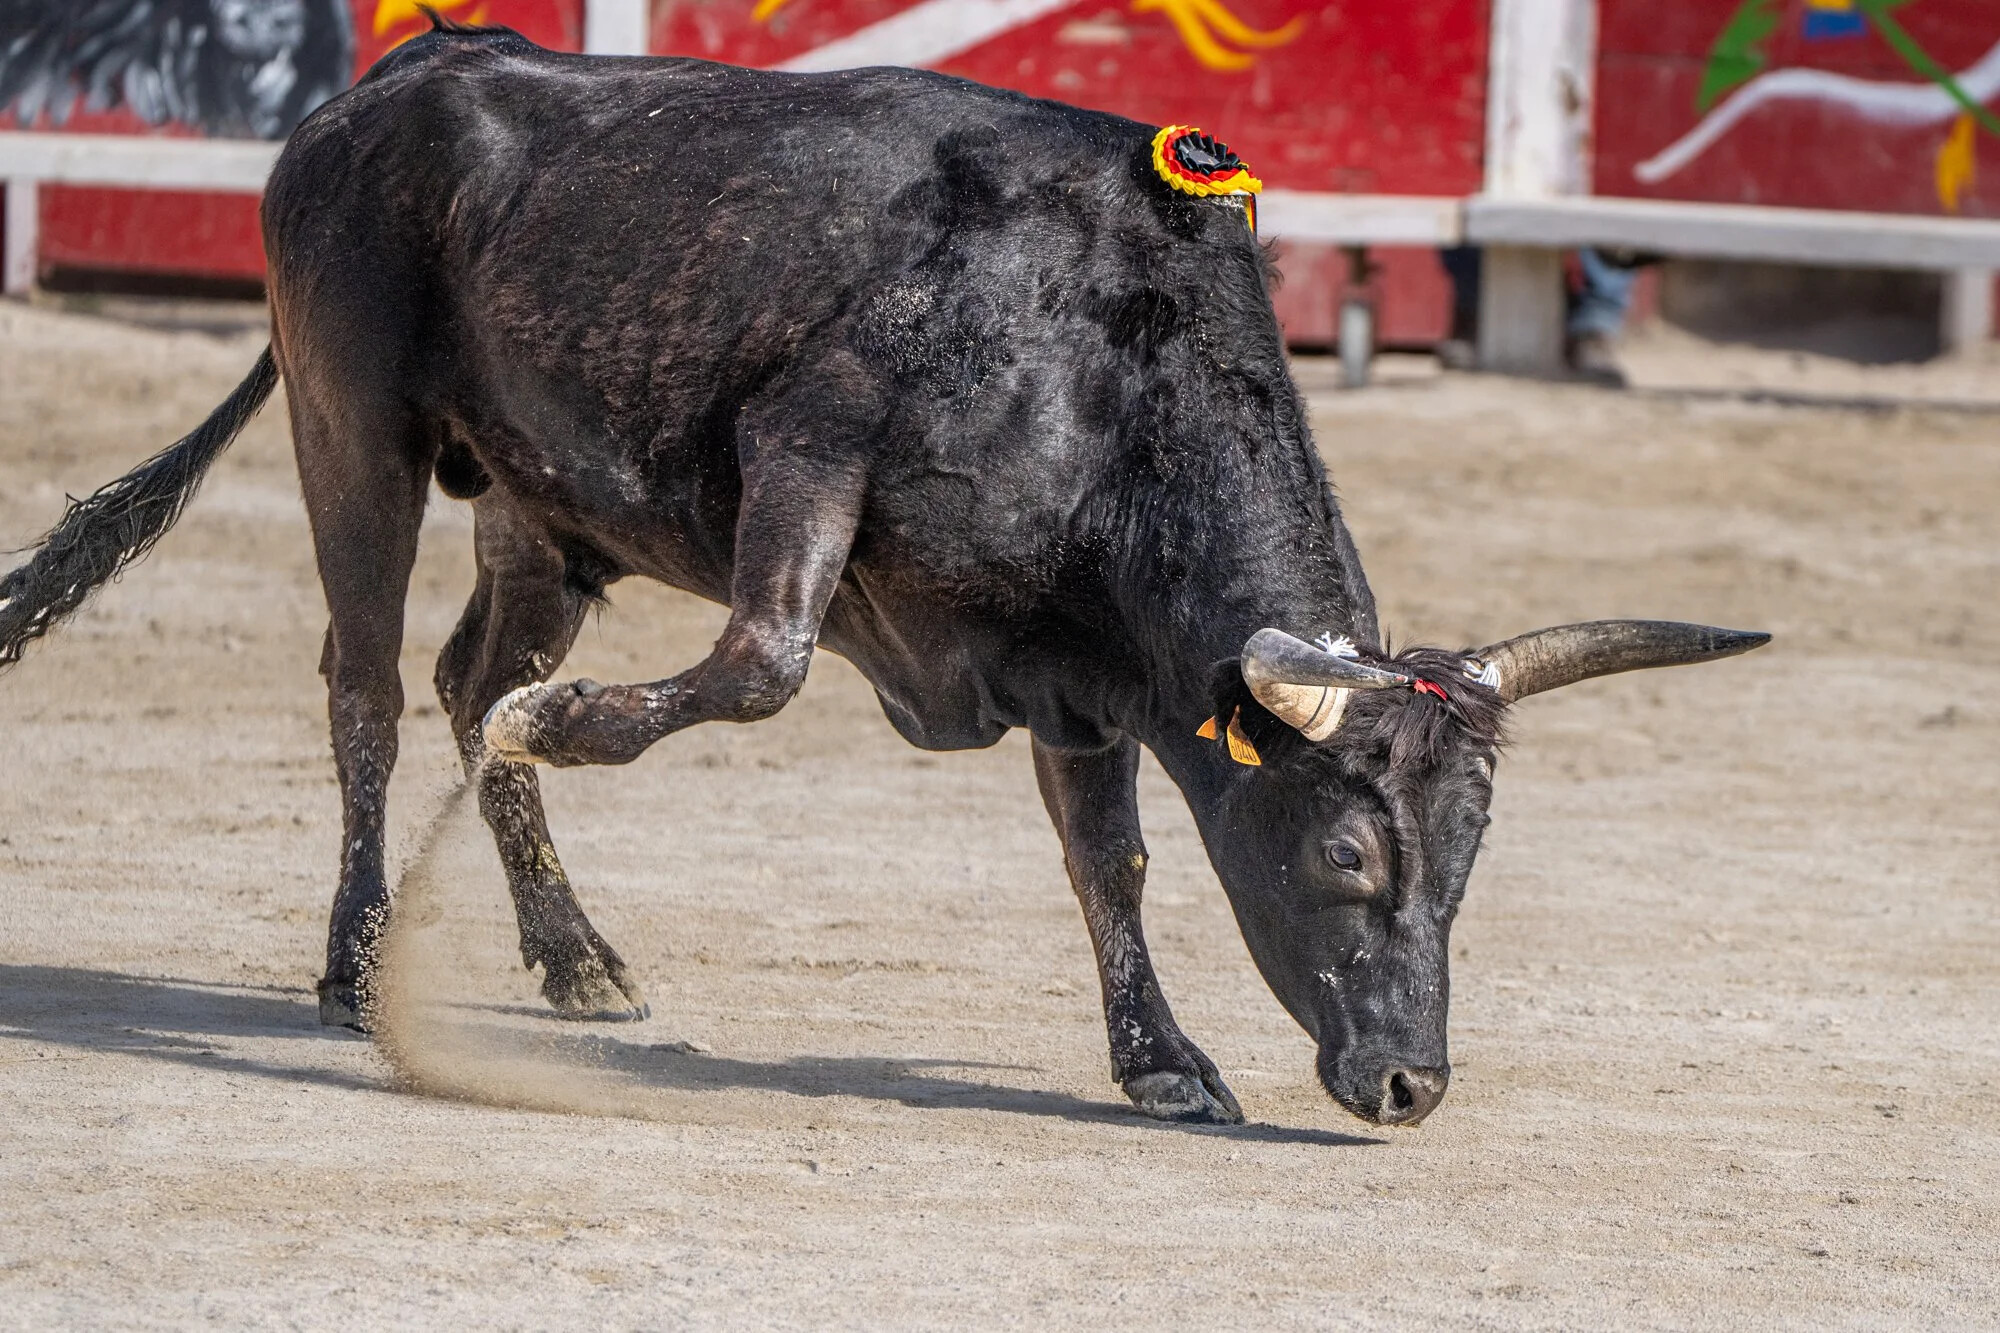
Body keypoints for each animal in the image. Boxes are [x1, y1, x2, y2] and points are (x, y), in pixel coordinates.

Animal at [0, 18, 1767, 1127]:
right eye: (1345, 852)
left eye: (1467, 861)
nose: (1411, 1086)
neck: (1095, 358)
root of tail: (412, 68)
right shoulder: (812, 444)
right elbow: (764, 664)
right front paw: (575, 726)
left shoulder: (1080, 666)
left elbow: (1110, 861)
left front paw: (1163, 1061)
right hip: (348, 421)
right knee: (366, 685)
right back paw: (358, 961)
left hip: (540, 504)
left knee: (462, 676)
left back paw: (574, 953)